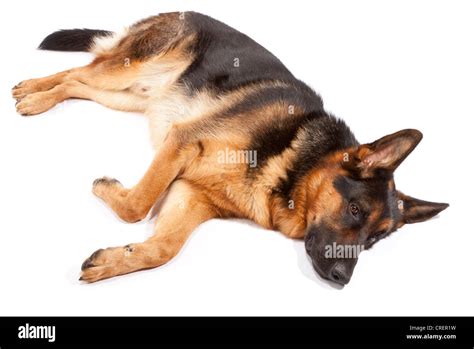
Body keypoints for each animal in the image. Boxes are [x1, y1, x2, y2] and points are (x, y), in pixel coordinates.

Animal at [11, 11, 448, 282]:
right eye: (354, 210)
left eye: (374, 242)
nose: (342, 280)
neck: (289, 164)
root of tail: (184, 12)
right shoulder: (181, 142)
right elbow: (137, 205)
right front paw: (108, 190)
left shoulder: (192, 195)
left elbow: (164, 248)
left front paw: (114, 261)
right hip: (126, 72)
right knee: (76, 73)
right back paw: (32, 94)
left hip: (129, 96)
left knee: (78, 84)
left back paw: (36, 95)